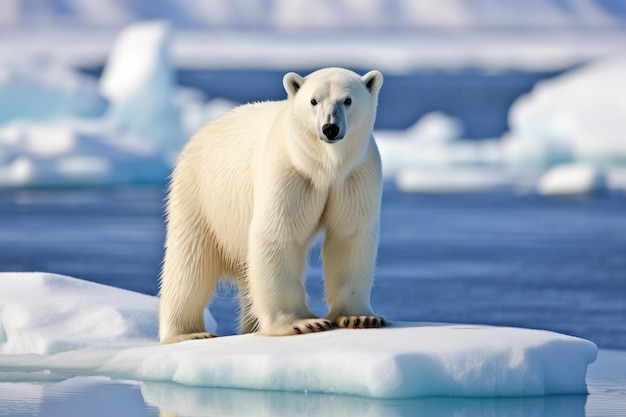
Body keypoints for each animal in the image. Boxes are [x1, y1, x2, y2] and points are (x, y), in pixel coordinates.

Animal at [158, 67, 382, 342]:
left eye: (347, 100)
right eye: (313, 101)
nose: (330, 128)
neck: (324, 165)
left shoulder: (356, 175)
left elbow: (349, 234)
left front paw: (359, 317)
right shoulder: (289, 170)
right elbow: (279, 233)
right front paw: (301, 323)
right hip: (199, 194)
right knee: (189, 261)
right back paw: (189, 333)